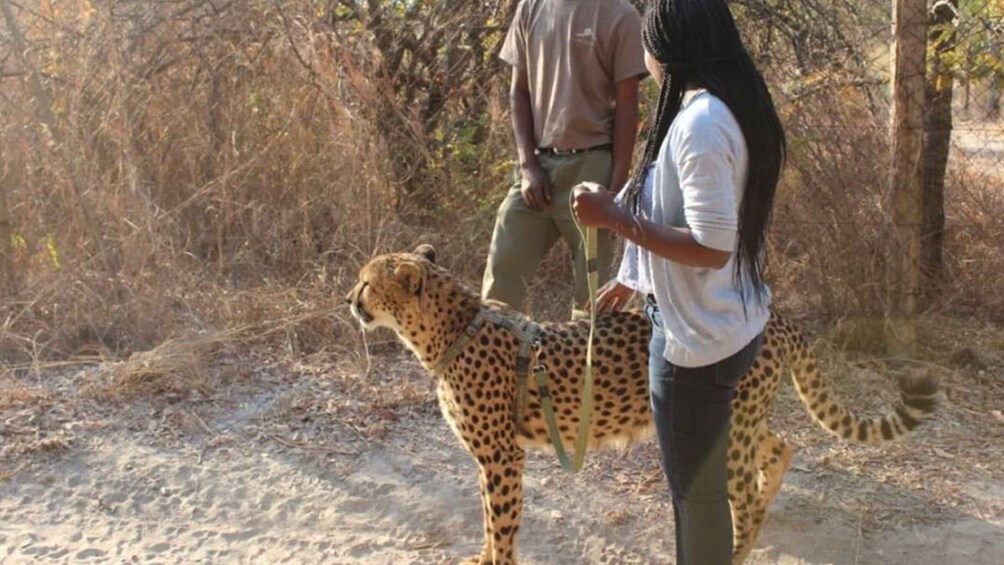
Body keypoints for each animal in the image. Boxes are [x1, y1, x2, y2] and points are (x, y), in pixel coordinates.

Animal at [345, 244, 939, 565]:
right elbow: (489, 519)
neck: (452, 327)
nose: (349, 299)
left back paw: (739, 545)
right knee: (780, 446)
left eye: (367, 282)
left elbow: (503, 520)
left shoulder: (503, 458)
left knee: (744, 495)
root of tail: (776, 316)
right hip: (739, 420)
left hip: (720, 427)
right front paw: (482, 553)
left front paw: (498, 559)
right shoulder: (490, 459)